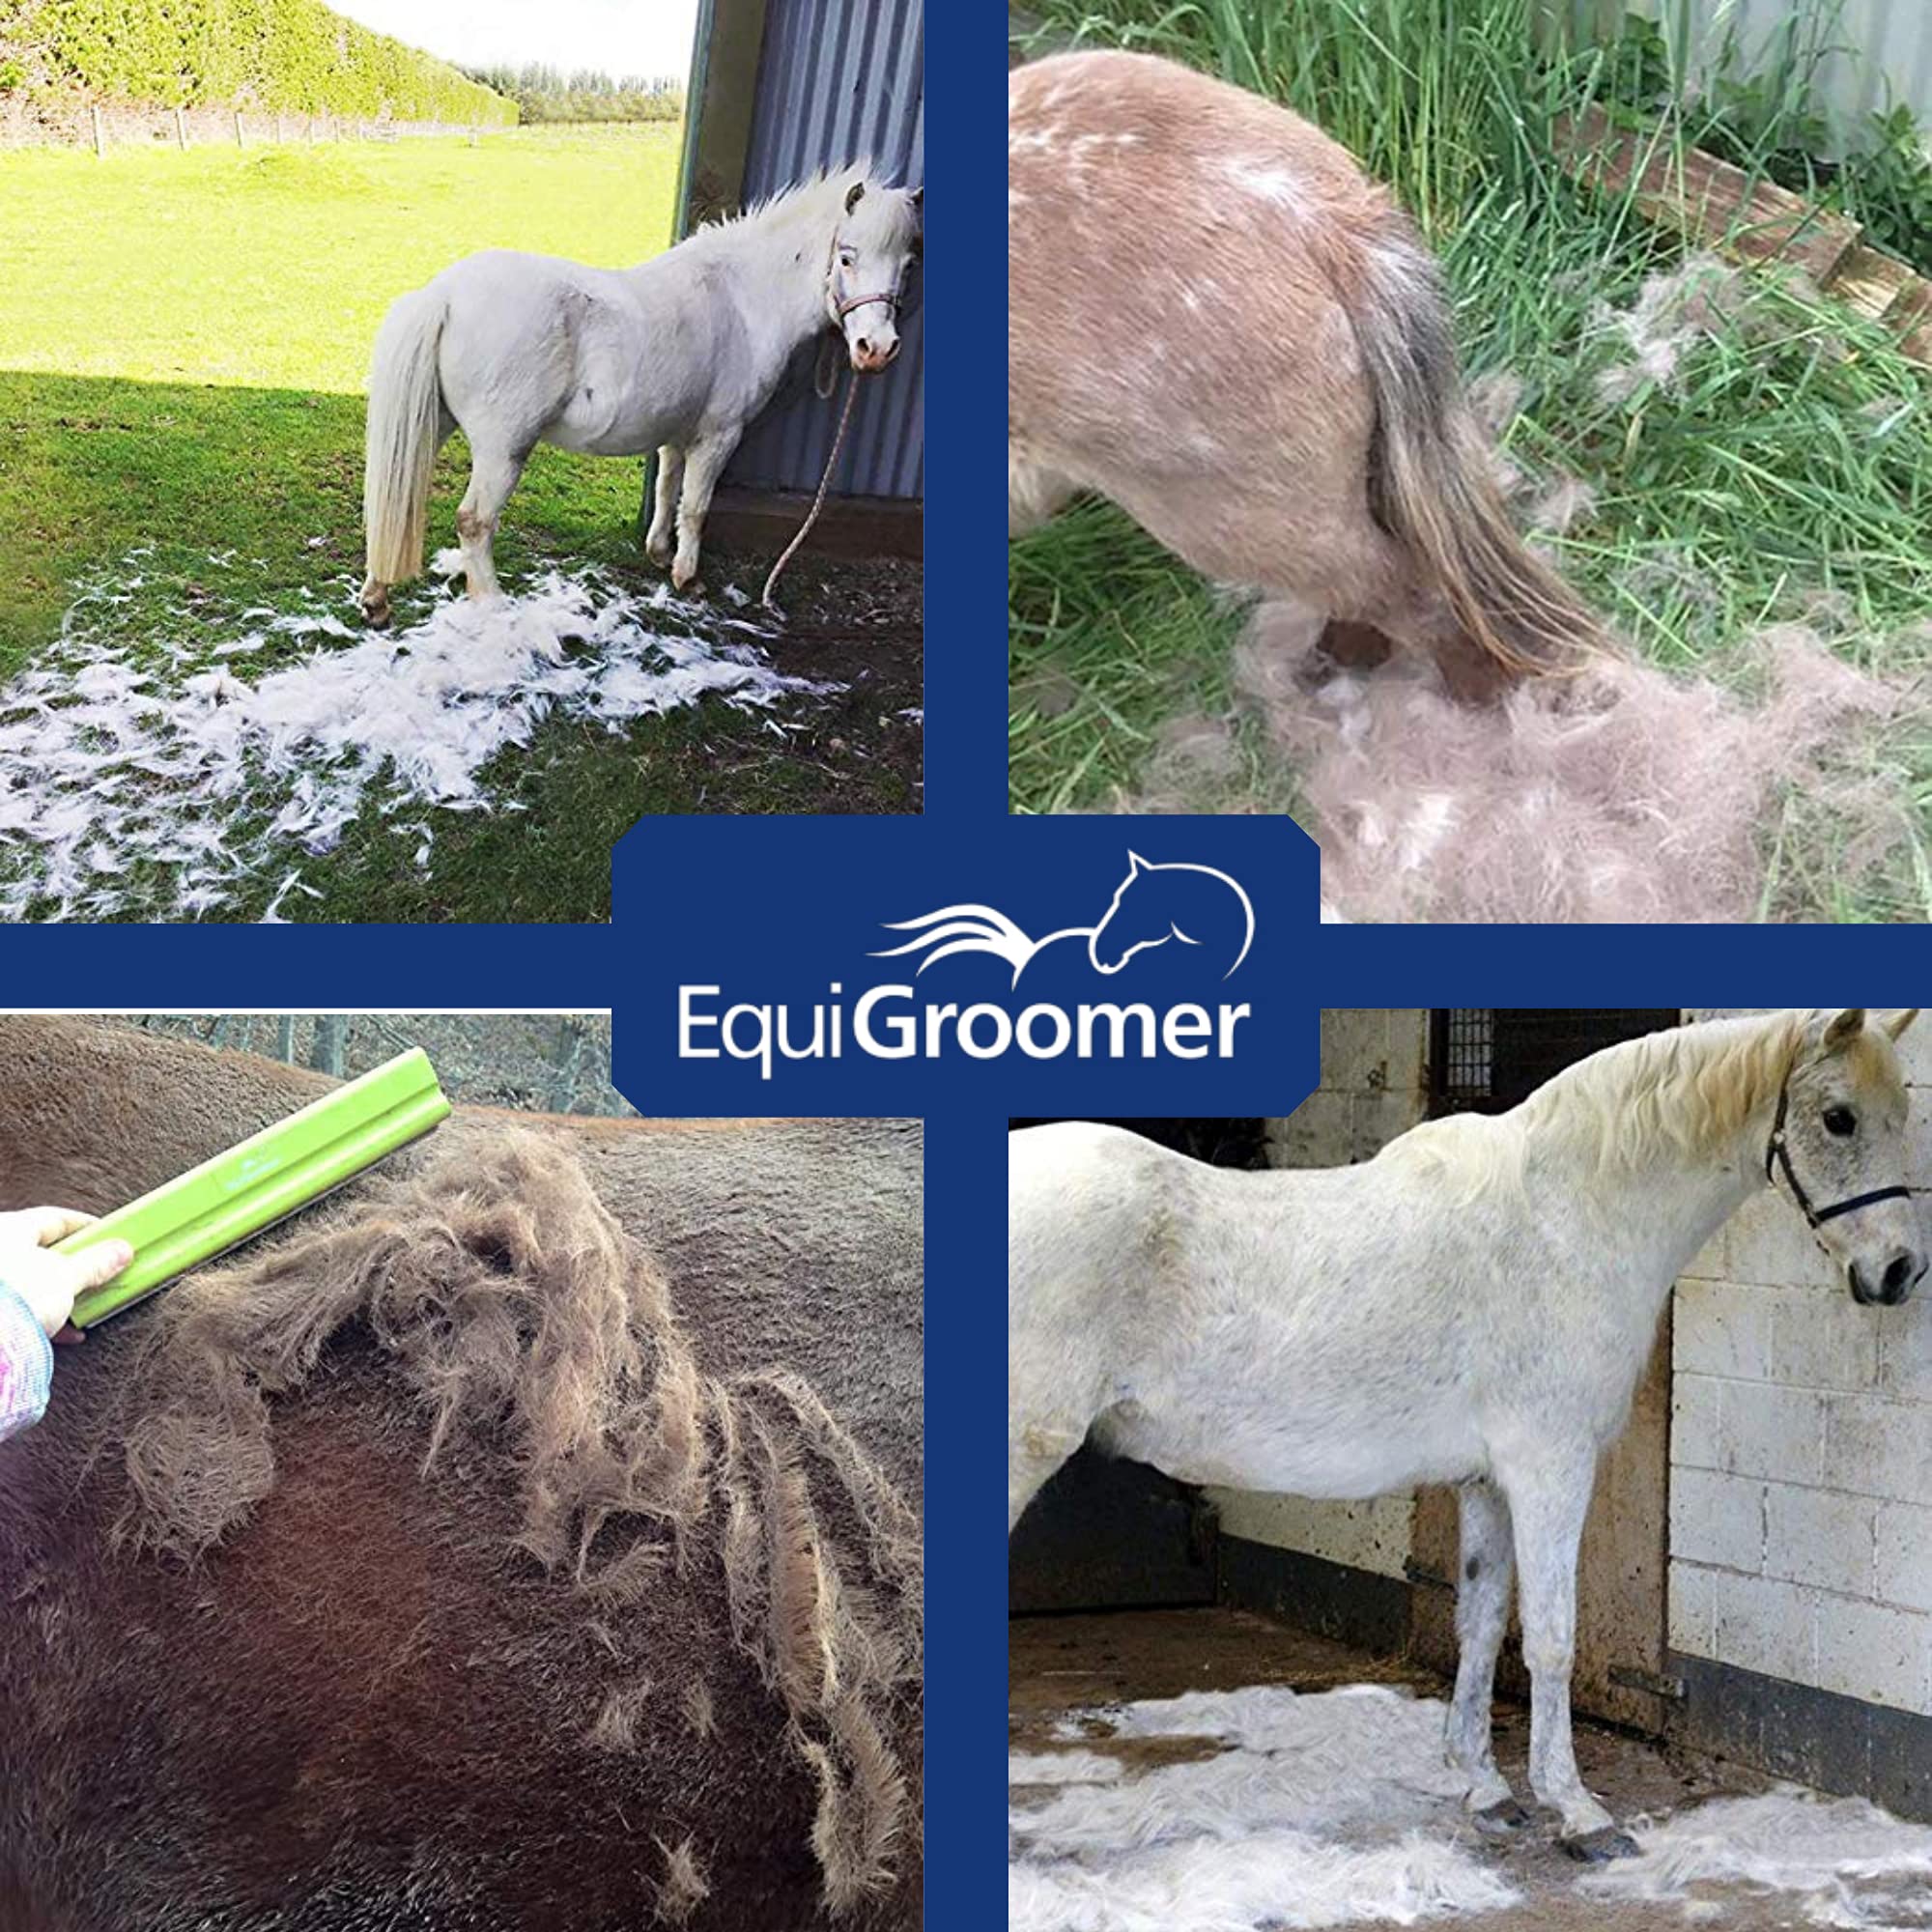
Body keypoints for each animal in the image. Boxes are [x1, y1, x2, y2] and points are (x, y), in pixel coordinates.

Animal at [360, 167, 923, 624]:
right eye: (846, 258)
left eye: (907, 264)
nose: (877, 349)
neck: (742, 301)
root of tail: (445, 295)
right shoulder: (719, 436)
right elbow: (696, 506)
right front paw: (688, 578)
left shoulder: (677, 432)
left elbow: (668, 489)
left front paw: (658, 555)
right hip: (504, 449)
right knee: (474, 522)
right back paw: (493, 602)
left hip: (433, 425)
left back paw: (376, 598)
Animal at [1008, 1009, 1924, 1860]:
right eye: (1839, 1117)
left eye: (1902, 1113)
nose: (1899, 1272)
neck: (1565, 1218)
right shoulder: (1551, 1467)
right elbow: (1552, 1637)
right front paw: (1580, 1812)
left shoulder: (1486, 1479)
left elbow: (1480, 1623)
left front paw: (1485, 1787)